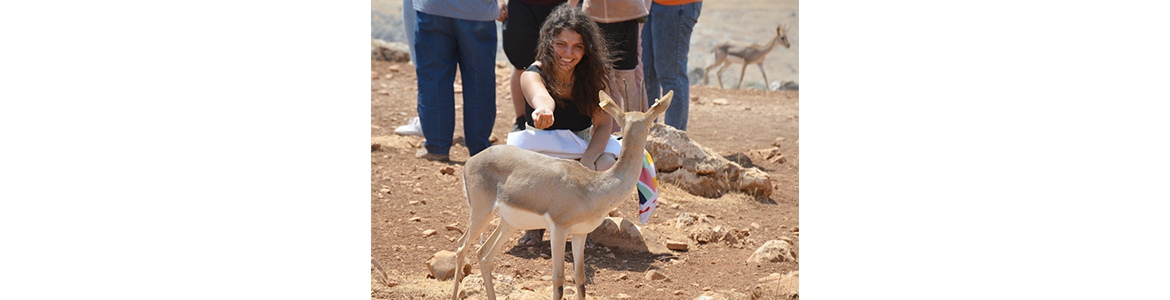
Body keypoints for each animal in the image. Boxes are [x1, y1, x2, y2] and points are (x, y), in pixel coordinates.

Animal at [451, 89, 678, 300]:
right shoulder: (559, 229)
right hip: (481, 214)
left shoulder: (580, 233)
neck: (592, 187)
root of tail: (470, 161)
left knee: (483, 255)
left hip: (508, 223)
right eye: (649, 123)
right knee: (461, 246)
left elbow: (580, 278)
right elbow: (558, 280)